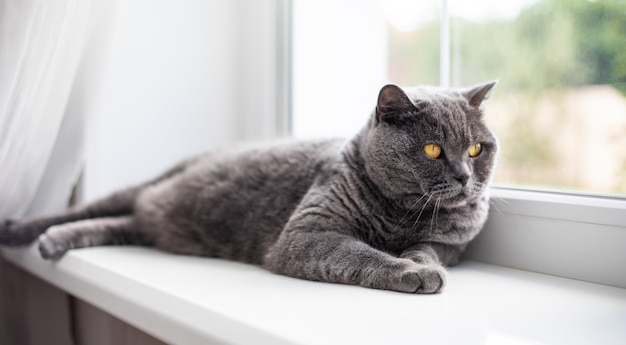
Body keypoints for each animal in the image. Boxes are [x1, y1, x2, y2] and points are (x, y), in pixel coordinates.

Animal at [0, 81, 498, 292]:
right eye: (433, 150)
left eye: (476, 149)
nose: (464, 176)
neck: (402, 215)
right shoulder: (306, 234)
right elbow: (361, 254)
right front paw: (410, 272)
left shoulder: (451, 244)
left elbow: (429, 250)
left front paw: (420, 264)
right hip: (147, 185)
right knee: (88, 209)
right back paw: (28, 233)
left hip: (150, 219)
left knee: (117, 224)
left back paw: (57, 241)